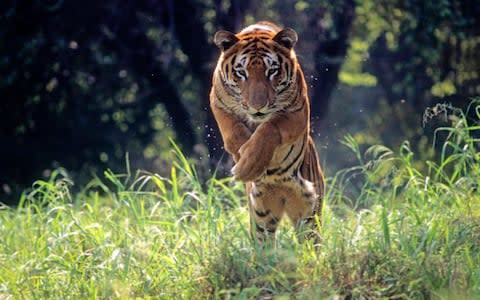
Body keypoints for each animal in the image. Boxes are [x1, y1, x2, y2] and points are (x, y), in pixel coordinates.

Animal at [209, 21, 324, 244]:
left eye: (272, 71)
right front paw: (243, 161)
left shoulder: (297, 112)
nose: (258, 107)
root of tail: (282, 191)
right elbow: (233, 131)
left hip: (309, 213)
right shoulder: (218, 102)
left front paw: (250, 164)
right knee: (265, 241)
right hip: (262, 214)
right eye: (241, 73)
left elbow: (269, 129)